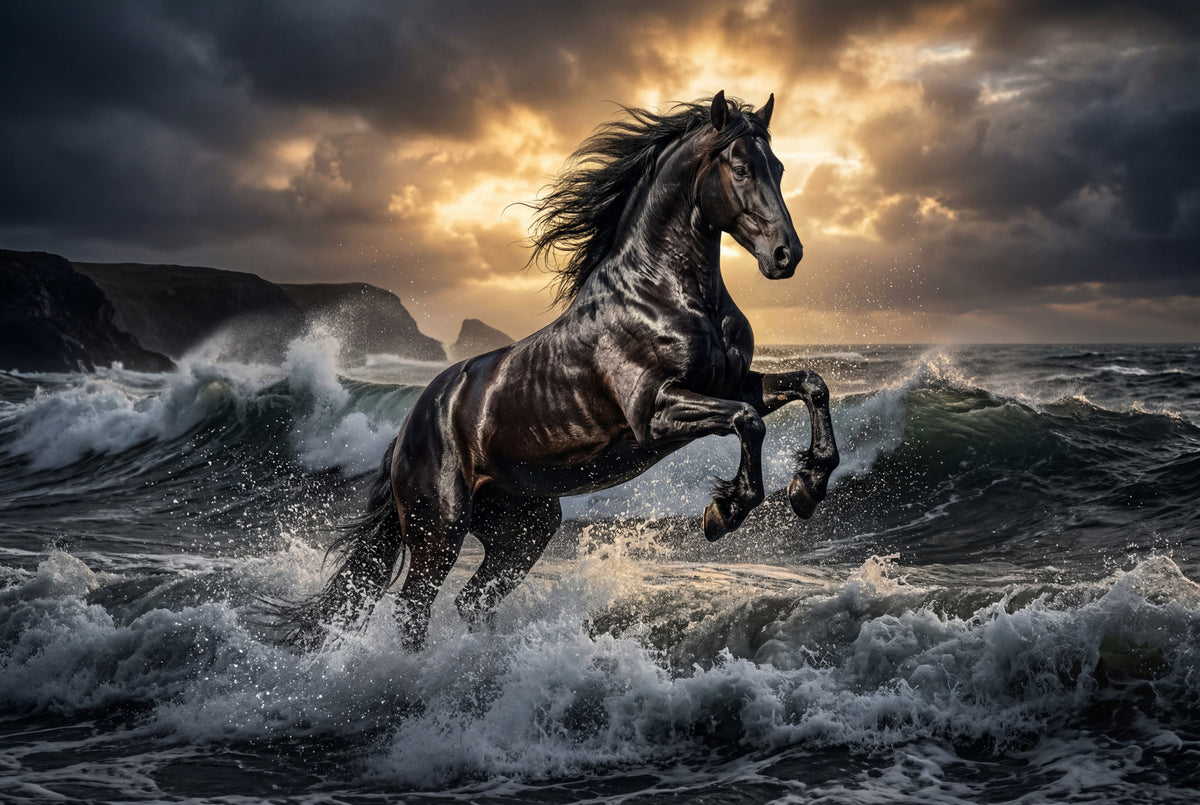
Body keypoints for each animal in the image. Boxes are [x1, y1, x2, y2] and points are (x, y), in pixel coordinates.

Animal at [283, 91, 840, 650]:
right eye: (742, 168)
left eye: (780, 168)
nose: (786, 255)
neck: (663, 292)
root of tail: (407, 428)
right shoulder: (654, 411)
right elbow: (749, 419)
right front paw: (725, 512)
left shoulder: (730, 383)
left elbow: (810, 385)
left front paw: (809, 485)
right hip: (438, 529)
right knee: (413, 611)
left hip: (523, 528)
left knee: (471, 601)